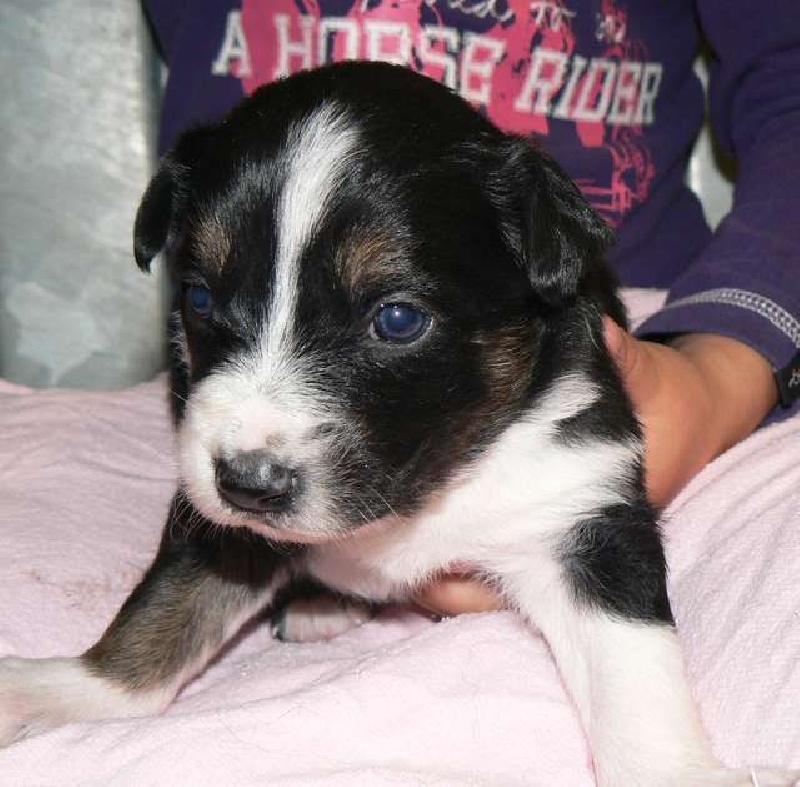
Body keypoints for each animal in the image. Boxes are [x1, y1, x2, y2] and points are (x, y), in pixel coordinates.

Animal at [0, 62, 796, 786]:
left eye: (398, 319)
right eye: (197, 298)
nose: (247, 484)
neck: (427, 486)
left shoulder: (583, 505)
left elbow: (633, 673)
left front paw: (676, 769)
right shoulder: (215, 518)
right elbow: (165, 609)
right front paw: (59, 691)